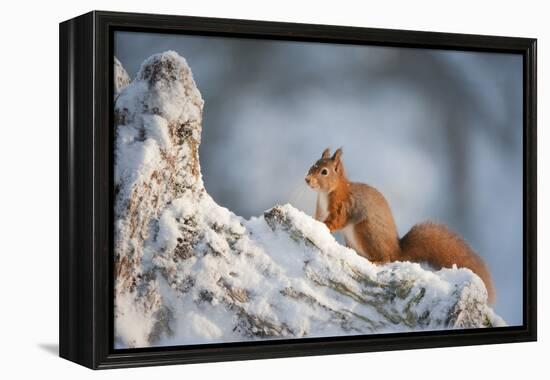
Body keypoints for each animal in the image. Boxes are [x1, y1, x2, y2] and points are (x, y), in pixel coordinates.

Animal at [304, 147, 498, 304]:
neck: (326, 193)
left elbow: (335, 221)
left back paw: (376, 260)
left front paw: (323, 227)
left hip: (365, 232)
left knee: (386, 259)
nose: (307, 179)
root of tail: (397, 251)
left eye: (324, 171)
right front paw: (313, 221)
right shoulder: (320, 210)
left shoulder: (344, 207)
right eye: (313, 164)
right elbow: (317, 218)